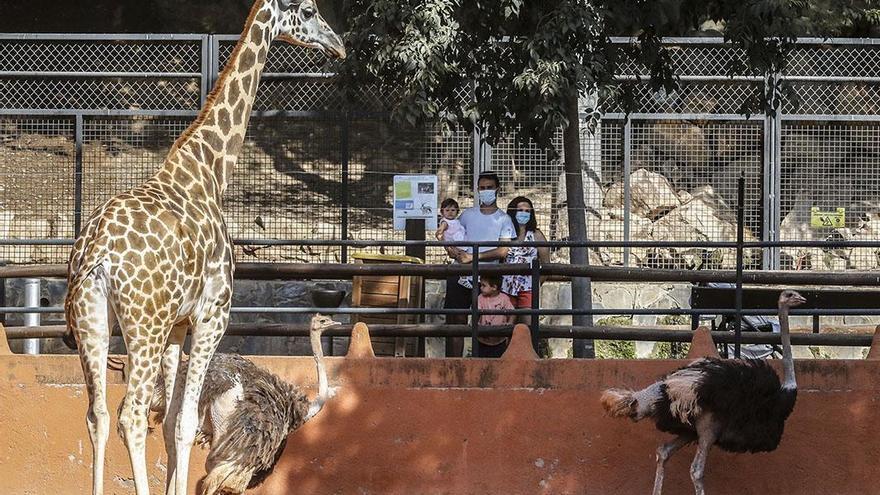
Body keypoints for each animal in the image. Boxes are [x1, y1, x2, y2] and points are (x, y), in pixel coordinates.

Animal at [62, 1, 344, 494]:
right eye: (308, 10)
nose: (338, 45)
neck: (209, 171)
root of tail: (98, 255)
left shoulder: (178, 326)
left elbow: (175, 419)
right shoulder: (212, 314)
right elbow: (186, 421)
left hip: (92, 321)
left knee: (97, 414)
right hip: (144, 326)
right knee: (131, 415)